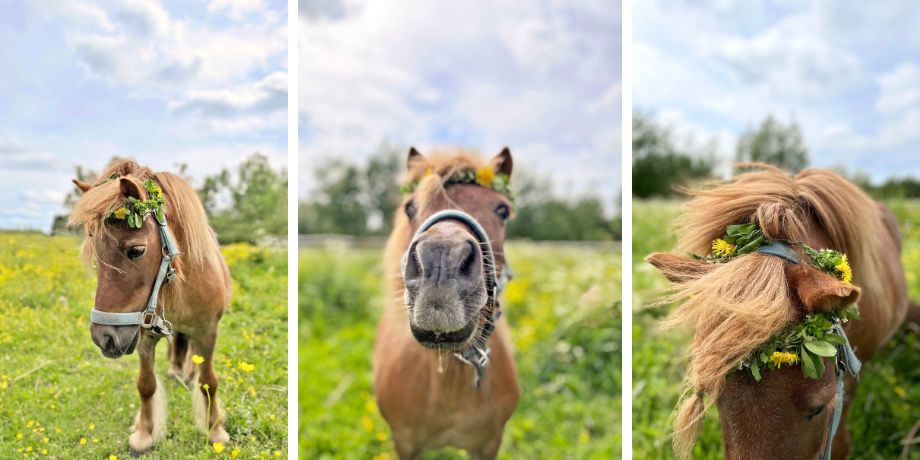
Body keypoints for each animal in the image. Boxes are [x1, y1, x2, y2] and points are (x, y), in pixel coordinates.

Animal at [69, 160, 232, 454]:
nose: (103, 337)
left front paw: (214, 430)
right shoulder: (144, 334)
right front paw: (145, 434)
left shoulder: (208, 332)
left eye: (136, 250)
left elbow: (208, 381)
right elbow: (146, 384)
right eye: (95, 250)